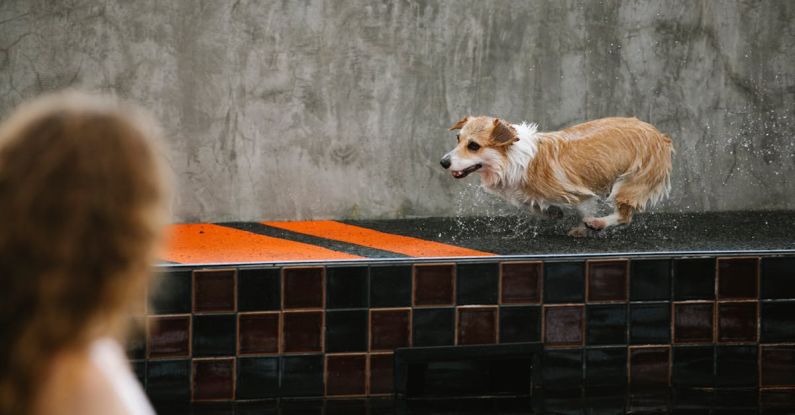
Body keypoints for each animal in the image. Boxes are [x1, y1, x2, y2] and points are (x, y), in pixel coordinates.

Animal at [442, 116, 672, 237]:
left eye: (473, 146)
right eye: (458, 138)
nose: (443, 162)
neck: (513, 159)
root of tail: (660, 135)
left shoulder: (579, 192)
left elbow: (585, 208)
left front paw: (584, 226)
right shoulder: (522, 194)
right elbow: (533, 205)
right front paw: (553, 213)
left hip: (630, 182)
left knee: (625, 216)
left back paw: (598, 223)